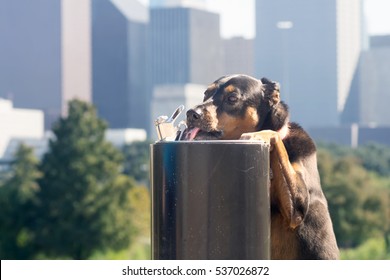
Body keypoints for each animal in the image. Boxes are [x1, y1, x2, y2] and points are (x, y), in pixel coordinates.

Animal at [183, 75, 338, 260]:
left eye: (232, 98)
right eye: (206, 94)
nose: (191, 114)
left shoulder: (297, 210)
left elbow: (274, 135)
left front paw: (258, 135)